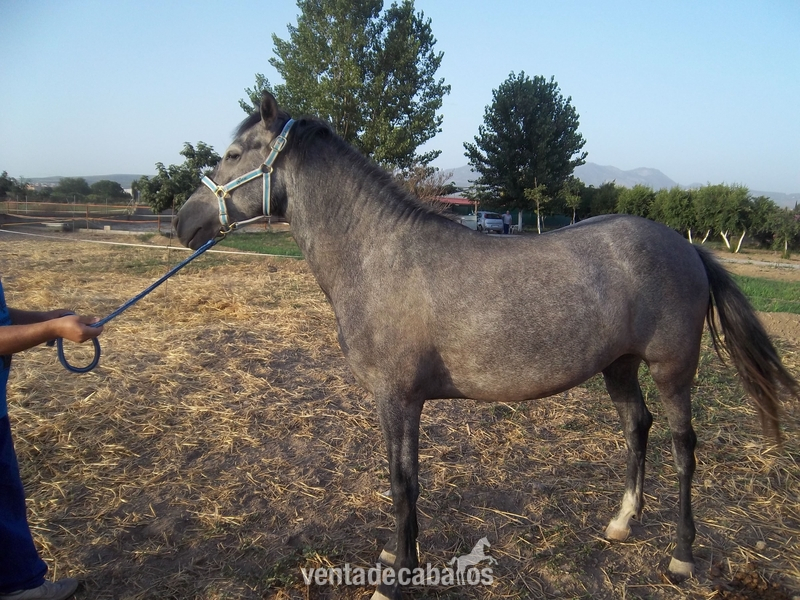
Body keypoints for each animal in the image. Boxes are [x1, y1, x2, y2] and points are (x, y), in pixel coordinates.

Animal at [174, 93, 798, 599]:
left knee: (683, 449)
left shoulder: (398, 399)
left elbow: (402, 482)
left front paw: (395, 578)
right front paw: (398, 556)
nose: (183, 222)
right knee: (635, 428)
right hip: (618, 367)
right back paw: (623, 522)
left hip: (673, 370)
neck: (378, 256)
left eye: (233, 153)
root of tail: (688, 247)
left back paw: (681, 557)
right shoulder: (399, 402)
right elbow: (404, 483)